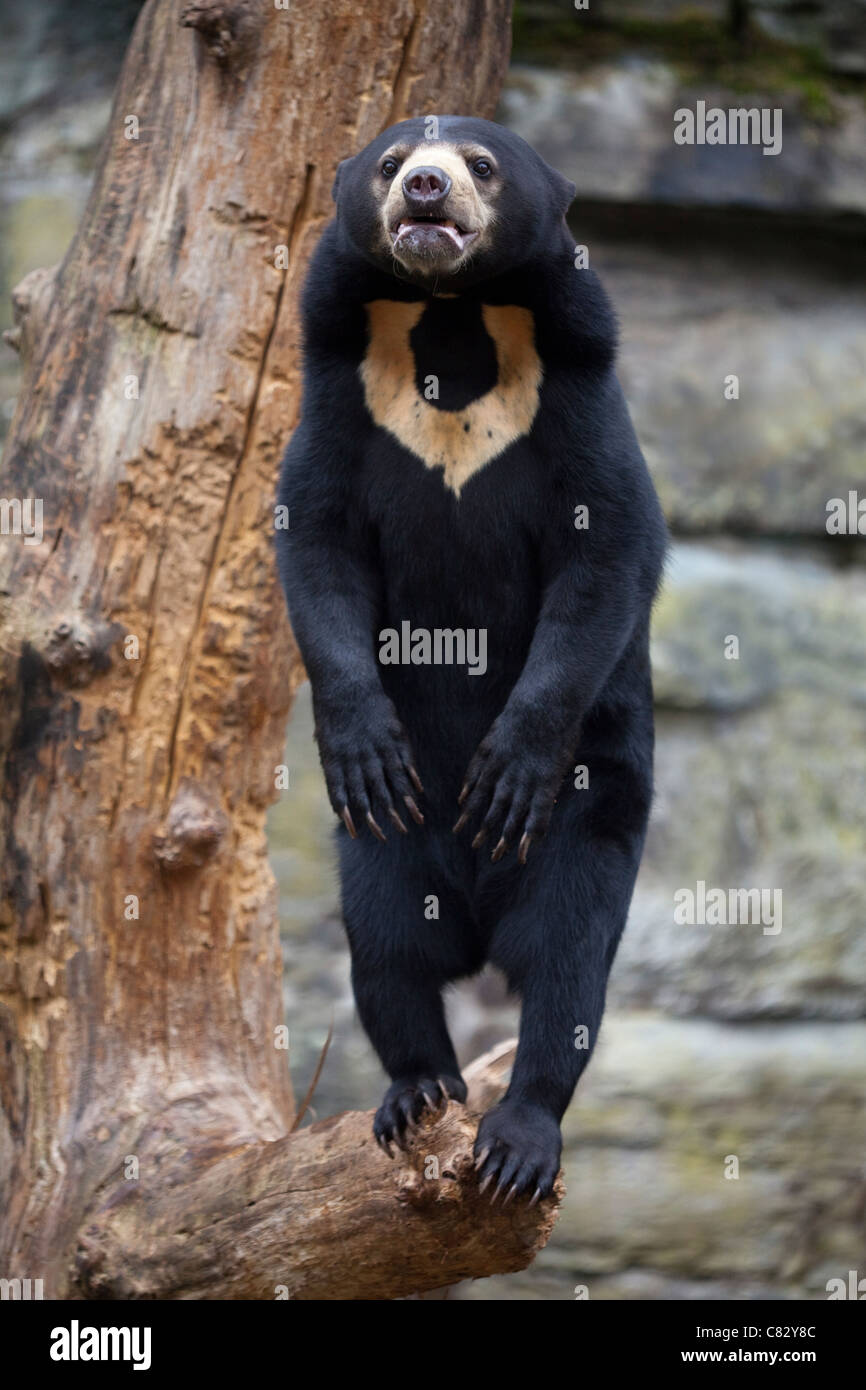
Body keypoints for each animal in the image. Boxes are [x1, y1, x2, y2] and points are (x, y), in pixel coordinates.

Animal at [276, 115, 667, 1204]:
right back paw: (416, 1095)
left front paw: (505, 770)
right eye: (388, 161)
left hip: (595, 810)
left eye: (480, 167)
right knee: (390, 950)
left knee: (565, 969)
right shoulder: (340, 392)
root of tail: (480, 917)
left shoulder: (578, 391)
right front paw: (361, 742)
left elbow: (603, 554)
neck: (449, 319)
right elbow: (315, 541)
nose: (421, 188)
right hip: (383, 848)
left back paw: (518, 1141)